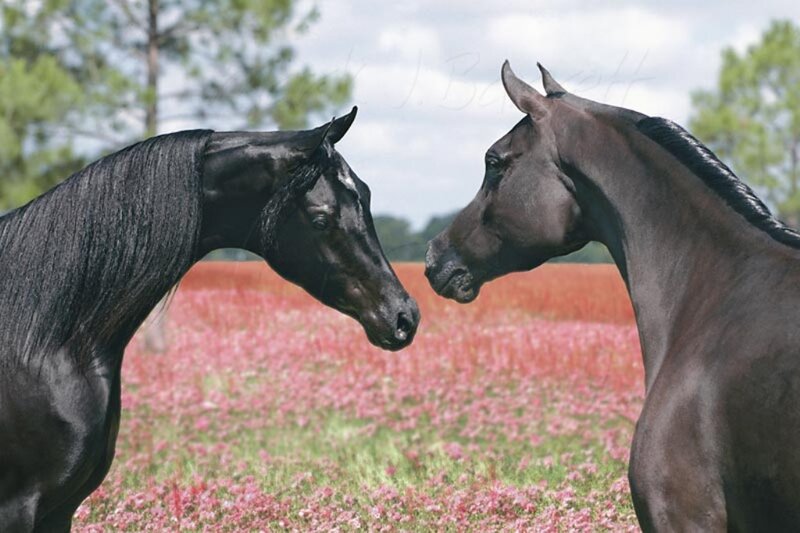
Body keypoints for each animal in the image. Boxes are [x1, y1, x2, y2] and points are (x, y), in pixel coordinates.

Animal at [0, 106, 420, 532]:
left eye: (365, 195)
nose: (403, 316)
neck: (47, 344)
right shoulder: (18, 507)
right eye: (321, 218)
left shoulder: (60, 510)